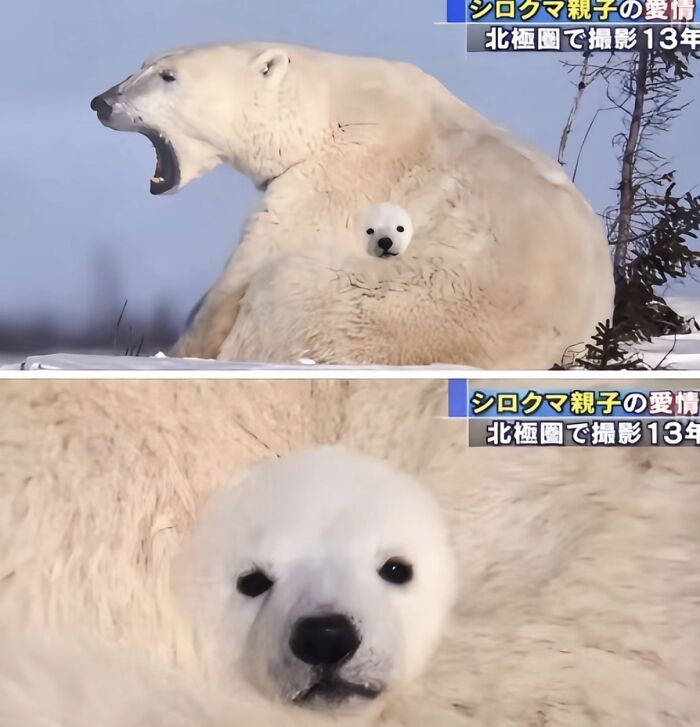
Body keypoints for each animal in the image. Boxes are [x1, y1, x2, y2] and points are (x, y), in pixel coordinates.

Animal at [90, 43, 614, 367]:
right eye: (142, 65)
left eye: (168, 76)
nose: (102, 101)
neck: (325, 111)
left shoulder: (339, 176)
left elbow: (252, 262)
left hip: (384, 309)